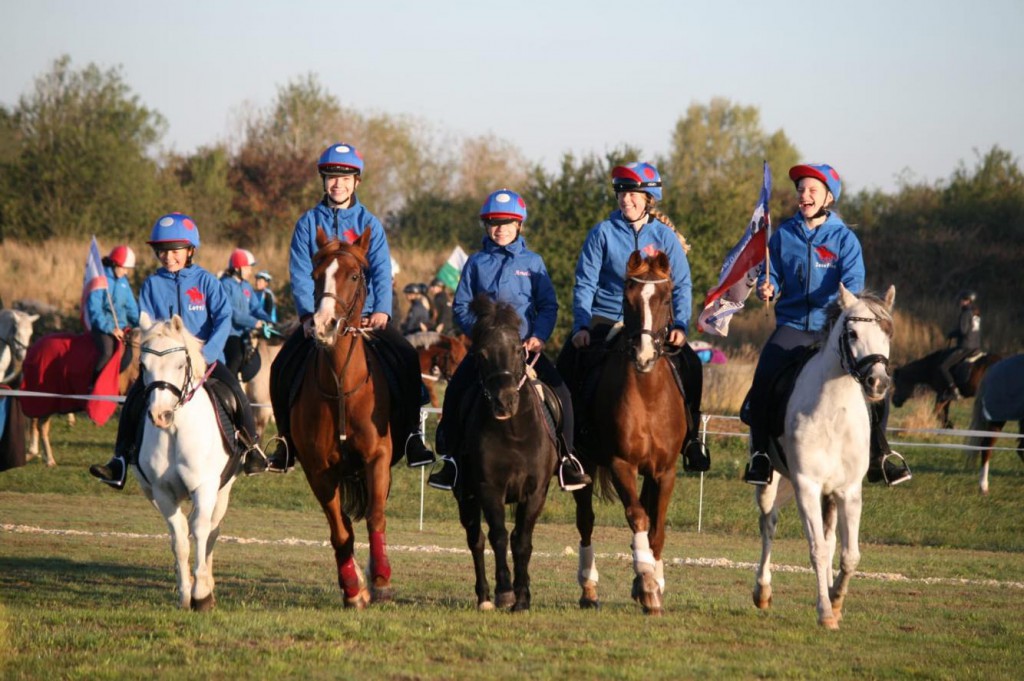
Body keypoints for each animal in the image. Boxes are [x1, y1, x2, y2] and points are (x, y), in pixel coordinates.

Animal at [134, 311, 237, 606]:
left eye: (180, 365)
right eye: (143, 365)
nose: (160, 415)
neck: (175, 431)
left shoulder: (205, 487)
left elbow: (201, 530)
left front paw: (201, 594)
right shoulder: (162, 492)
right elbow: (179, 539)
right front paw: (185, 593)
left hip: (222, 491)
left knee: (212, 530)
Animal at [292, 227, 399, 606]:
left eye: (354, 276)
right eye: (314, 275)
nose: (324, 326)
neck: (341, 385)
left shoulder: (377, 457)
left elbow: (376, 516)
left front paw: (381, 578)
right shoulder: (318, 470)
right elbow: (340, 532)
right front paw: (353, 589)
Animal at [450, 296, 557, 610]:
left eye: (518, 350)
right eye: (482, 354)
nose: (505, 401)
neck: (513, 432)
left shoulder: (535, 491)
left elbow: (522, 541)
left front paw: (522, 597)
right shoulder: (488, 489)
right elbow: (497, 536)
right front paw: (505, 591)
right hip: (465, 496)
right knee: (476, 540)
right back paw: (484, 596)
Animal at [573, 250, 684, 614]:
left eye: (666, 298)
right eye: (627, 299)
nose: (644, 355)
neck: (648, 395)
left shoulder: (665, 471)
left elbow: (657, 528)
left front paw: (654, 581)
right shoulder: (621, 464)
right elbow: (638, 517)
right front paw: (647, 583)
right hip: (583, 465)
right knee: (586, 521)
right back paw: (588, 588)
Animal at [757, 284, 892, 630]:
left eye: (888, 333)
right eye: (853, 333)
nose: (878, 382)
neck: (834, 411)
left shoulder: (848, 491)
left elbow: (849, 554)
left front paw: (836, 600)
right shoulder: (807, 486)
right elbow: (817, 549)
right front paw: (825, 612)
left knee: (831, 541)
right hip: (770, 484)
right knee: (768, 524)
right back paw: (762, 591)